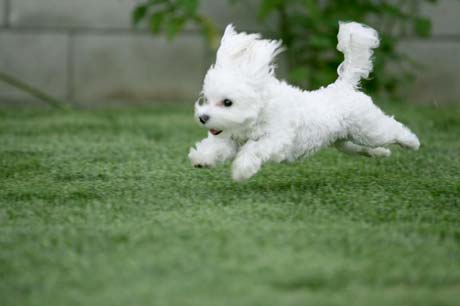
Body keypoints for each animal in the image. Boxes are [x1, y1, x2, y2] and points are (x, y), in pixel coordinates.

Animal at [188, 23, 420, 182]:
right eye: (206, 99)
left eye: (227, 102)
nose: (203, 118)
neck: (260, 112)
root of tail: (343, 86)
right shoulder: (232, 137)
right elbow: (218, 146)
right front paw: (202, 158)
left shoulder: (278, 138)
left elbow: (254, 148)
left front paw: (242, 170)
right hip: (345, 141)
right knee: (363, 149)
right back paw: (382, 153)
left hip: (368, 129)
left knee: (392, 130)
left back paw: (412, 142)